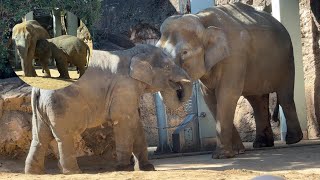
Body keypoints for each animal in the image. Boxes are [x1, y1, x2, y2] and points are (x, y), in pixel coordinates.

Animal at [25, 44, 192, 174]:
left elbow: (136, 122)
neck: (132, 51)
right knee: (64, 137)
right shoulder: (123, 87)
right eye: (167, 67)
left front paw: (147, 168)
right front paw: (124, 169)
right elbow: (124, 122)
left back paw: (34, 173)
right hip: (59, 105)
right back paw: (73, 172)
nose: (178, 87)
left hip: (41, 108)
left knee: (40, 137)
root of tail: (37, 90)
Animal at [157, 2, 302, 158]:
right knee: (257, 101)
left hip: (287, 59)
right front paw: (238, 151)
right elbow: (210, 98)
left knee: (285, 95)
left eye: (185, 52)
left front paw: (221, 156)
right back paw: (261, 144)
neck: (201, 19)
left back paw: (293, 140)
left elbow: (226, 94)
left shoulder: (235, 55)